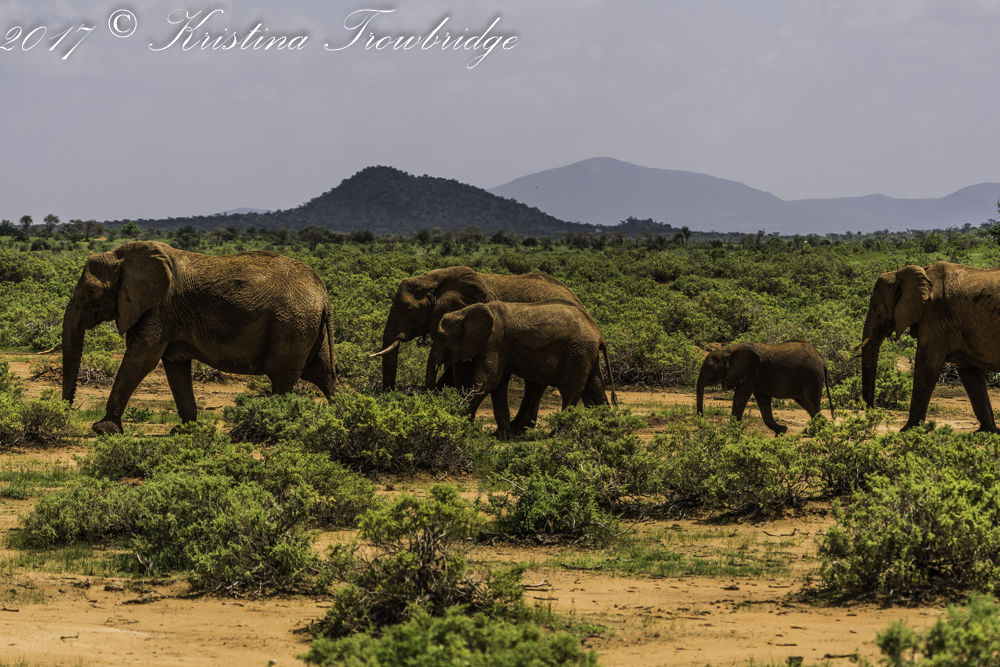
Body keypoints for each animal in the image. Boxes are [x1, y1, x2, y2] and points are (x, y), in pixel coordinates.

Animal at [61, 241, 336, 434]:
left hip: (292, 325)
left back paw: (273, 428)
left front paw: (103, 430)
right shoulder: (167, 314)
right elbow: (174, 364)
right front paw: (186, 431)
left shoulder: (159, 308)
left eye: (91, 291)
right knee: (321, 373)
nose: (67, 412)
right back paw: (339, 419)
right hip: (307, 328)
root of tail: (323, 294)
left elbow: (142, 359)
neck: (121, 257)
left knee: (283, 379)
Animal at [428, 299, 618, 436]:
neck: (465, 311)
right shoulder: (499, 346)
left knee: (570, 392)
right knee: (594, 389)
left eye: (442, 338)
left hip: (577, 352)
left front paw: (459, 424)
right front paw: (504, 436)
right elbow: (497, 384)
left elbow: (487, 380)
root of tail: (599, 332)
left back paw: (558, 435)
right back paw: (607, 432)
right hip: (586, 354)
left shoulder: (494, 342)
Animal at [696, 340, 833, 435]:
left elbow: (740, 397)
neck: (728, 350)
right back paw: (824, 428)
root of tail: (823, 360)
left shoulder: (753, 373)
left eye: (710, 371)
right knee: (808, 406)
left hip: (812, 377)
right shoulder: (758, 377)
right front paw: (782, 431)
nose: (702, 426)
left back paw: (816, 433)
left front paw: (730, 432)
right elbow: (764, 404)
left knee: (812, 405)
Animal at [860, 262, 1000, 433]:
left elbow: (926, 367)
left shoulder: (934, 316)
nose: (872, 410)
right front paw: (987, 431)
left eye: (874, 306)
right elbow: (970, 374)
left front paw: (908, 431)